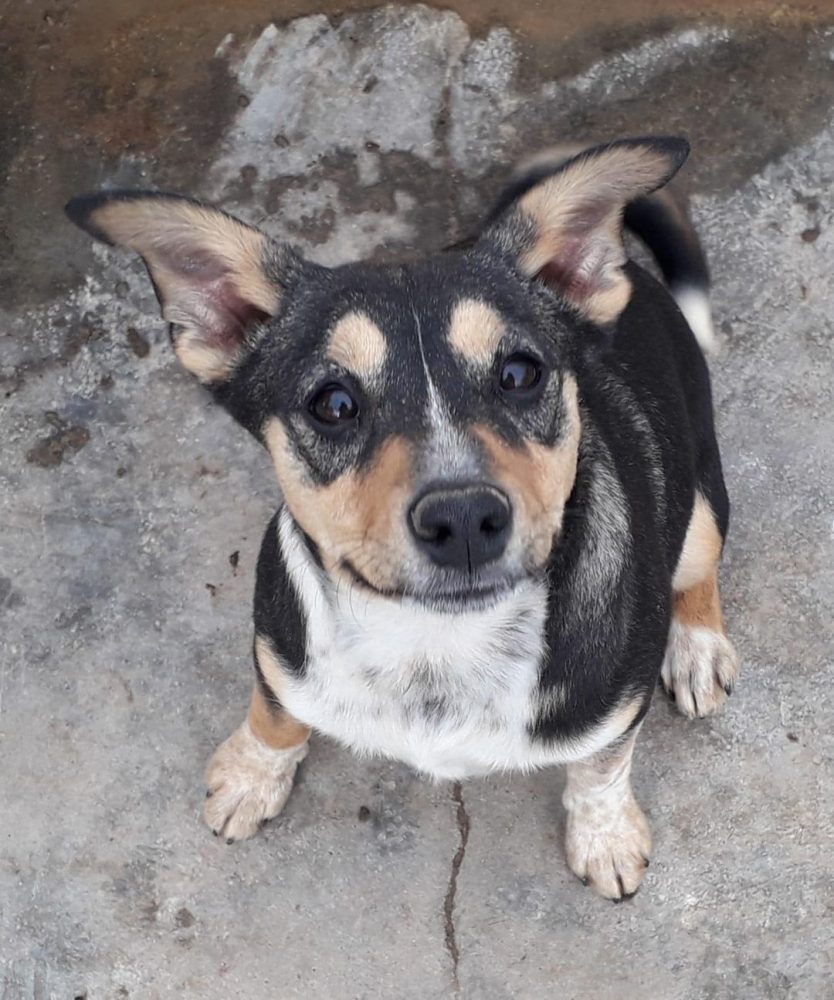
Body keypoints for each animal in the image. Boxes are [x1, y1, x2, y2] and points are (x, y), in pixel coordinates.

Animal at [66, 136, 738, 900]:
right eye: (332, 403)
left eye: (519, 373)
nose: (465, 518)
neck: (434, 643)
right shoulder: (278, 642)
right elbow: (274, 710)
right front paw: (250, 776)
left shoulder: (617, 705)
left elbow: (600, 769)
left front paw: (606, 837)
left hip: (701, 506)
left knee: (701, 566)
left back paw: (697, 648)